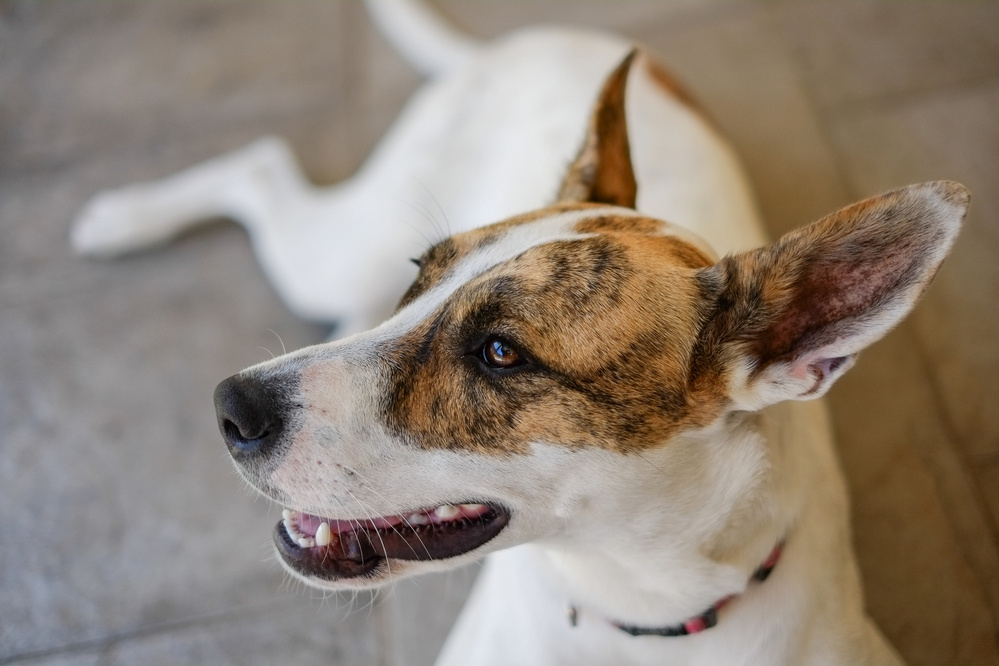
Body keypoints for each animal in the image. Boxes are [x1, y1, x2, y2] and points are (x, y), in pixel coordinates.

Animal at [72, 1, 968, 664]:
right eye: (421, 276)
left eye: (500, 353)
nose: (230, 407)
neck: (636, 613)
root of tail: (529, 36)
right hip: (340, 246)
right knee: (258, 164)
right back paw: (123, 219)